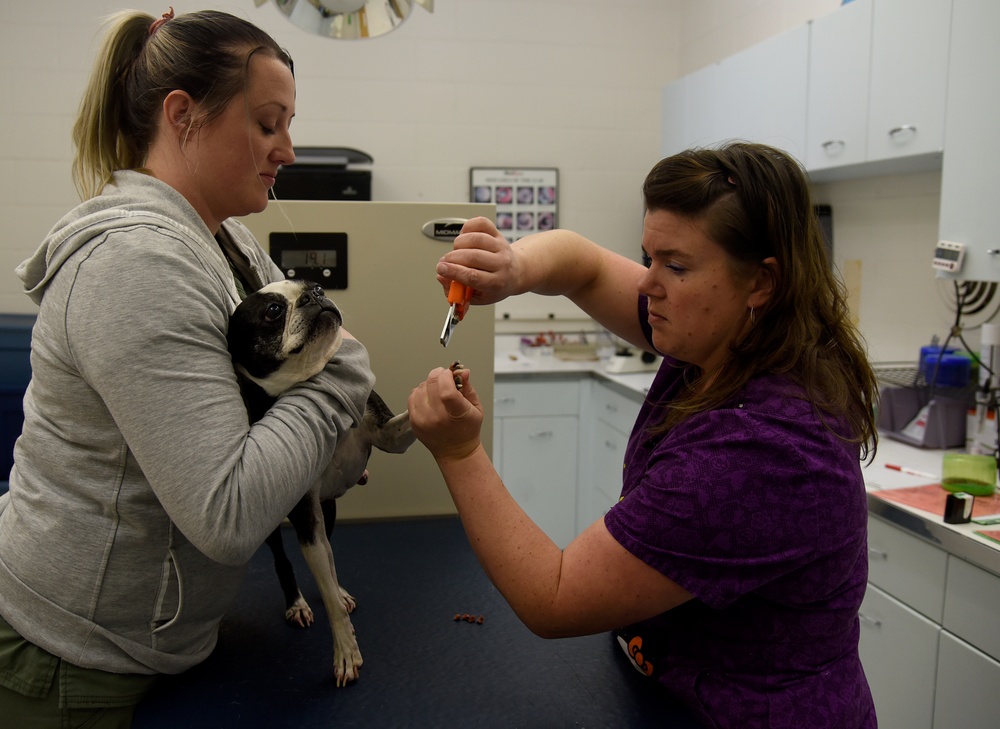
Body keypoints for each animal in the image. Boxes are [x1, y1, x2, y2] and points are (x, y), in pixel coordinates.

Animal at [227, 278, 414, 684]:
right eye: (273, 311)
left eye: (315, 286)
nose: (314, 296)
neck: (310, 376)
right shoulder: (304, 517)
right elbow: (328, 602)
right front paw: (345, 652)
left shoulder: (389, 436)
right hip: (276, 527)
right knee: (288, 561)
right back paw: (297, 602)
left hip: (329, 511)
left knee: (329, 558)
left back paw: (340, 589)